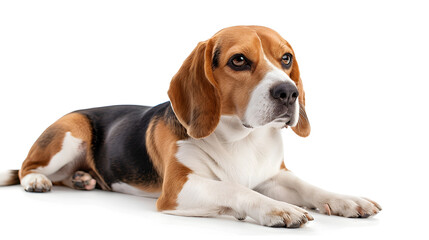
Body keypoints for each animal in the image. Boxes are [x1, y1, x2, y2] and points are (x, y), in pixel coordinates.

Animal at [0, 25, 382, 227]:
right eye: (239, 61)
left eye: (286, 58)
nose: (289, 92)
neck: (243, 138)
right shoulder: (178, 188)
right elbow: (236, 190)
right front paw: (277, 208)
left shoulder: (274, 175)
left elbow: (309, 187)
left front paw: (346, 200)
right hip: (71, 131)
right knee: (28, 168)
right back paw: (37, 181)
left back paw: (82, 179)